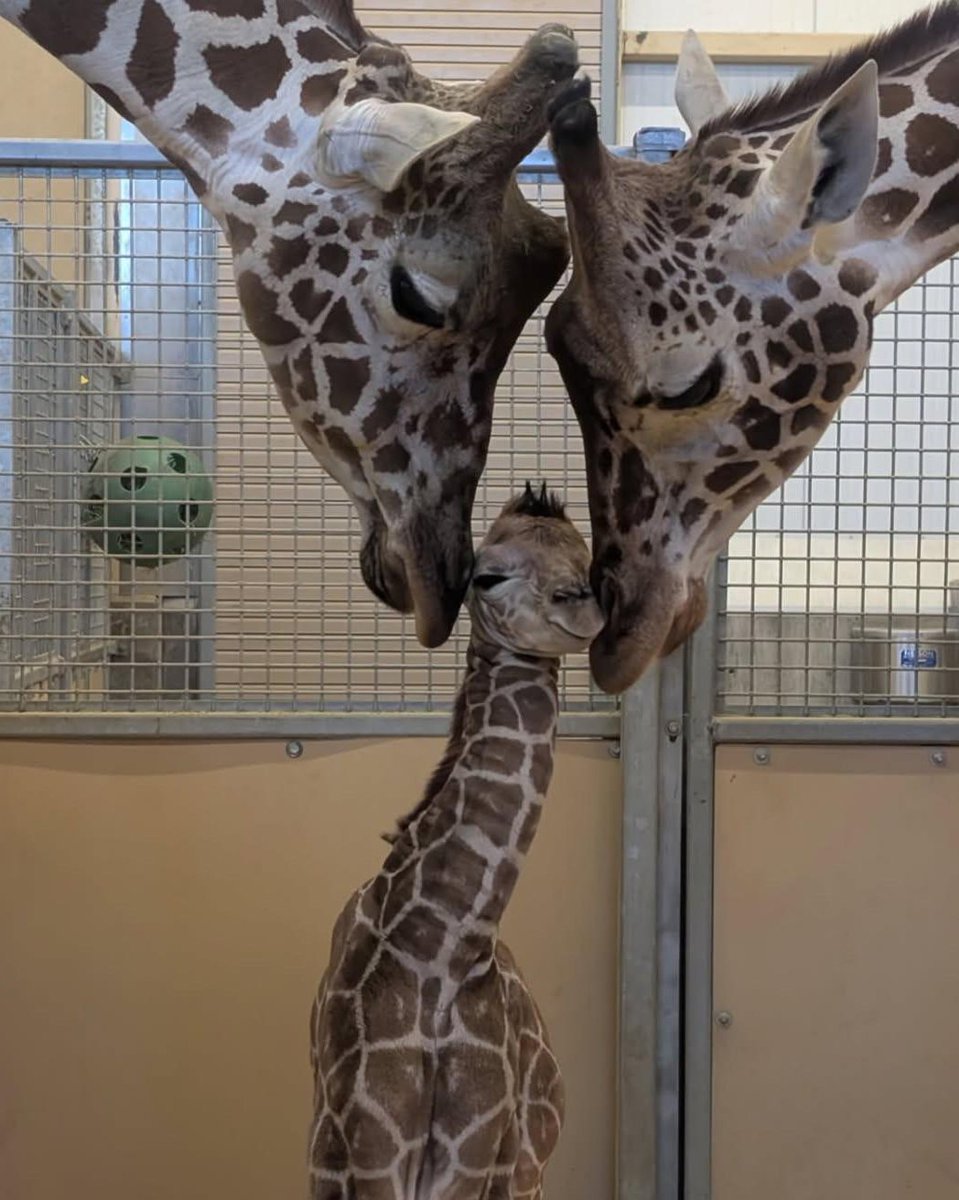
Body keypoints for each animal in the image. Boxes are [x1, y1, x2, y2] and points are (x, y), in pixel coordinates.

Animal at [308, 483, 603, 1200]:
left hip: (526, 1171)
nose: (580, 604)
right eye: (488, 575)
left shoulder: (473, 1160)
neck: (441, 949)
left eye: (588, 559)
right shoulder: (363, 1155)